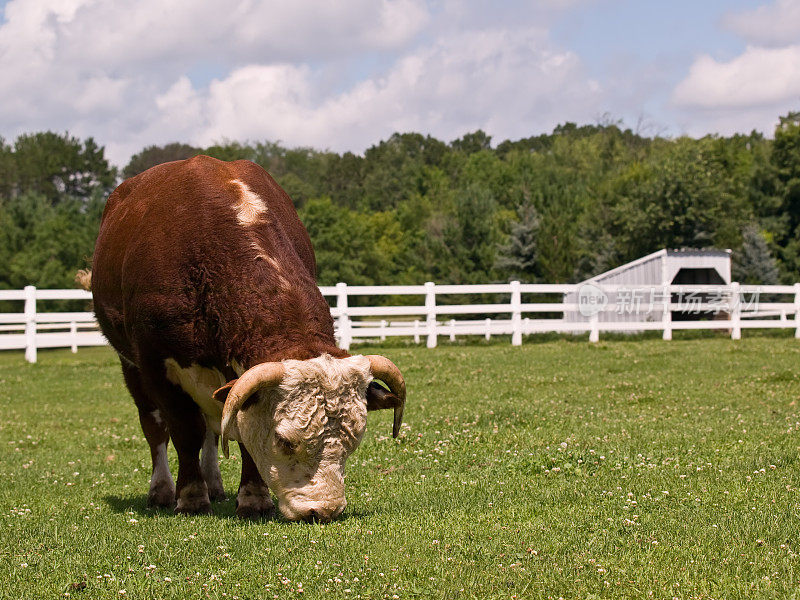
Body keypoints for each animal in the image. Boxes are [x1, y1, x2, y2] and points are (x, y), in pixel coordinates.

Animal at [90, 155, 406, 520]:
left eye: (354, 439)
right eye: (285, 441)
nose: (324, 509)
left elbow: (237, 430)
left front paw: (253, 496)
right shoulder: (158, 365)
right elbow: (184, 430)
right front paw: (191, 496)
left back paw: (214, 483)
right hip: (131, 367)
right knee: (156, 427)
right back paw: (163, 490)